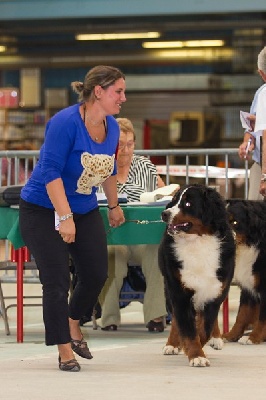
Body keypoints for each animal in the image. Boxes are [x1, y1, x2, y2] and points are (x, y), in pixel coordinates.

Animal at [158, 184, 235, 366]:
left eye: (188, 204)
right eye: (174, 200)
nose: (165, 214)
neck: (197, 242)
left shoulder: (215, 291)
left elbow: (204, 327)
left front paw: (201, 346)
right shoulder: (179, 291)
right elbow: (187, 328)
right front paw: (196, 355)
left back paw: (216, 339)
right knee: (175, 320)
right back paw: (172, 344)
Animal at [223, 200, 266, 344]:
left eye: (235, 222)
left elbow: (262, 318)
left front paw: (254, 337)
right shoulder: (247, 286)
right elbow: (242, 315)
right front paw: (231, 335)